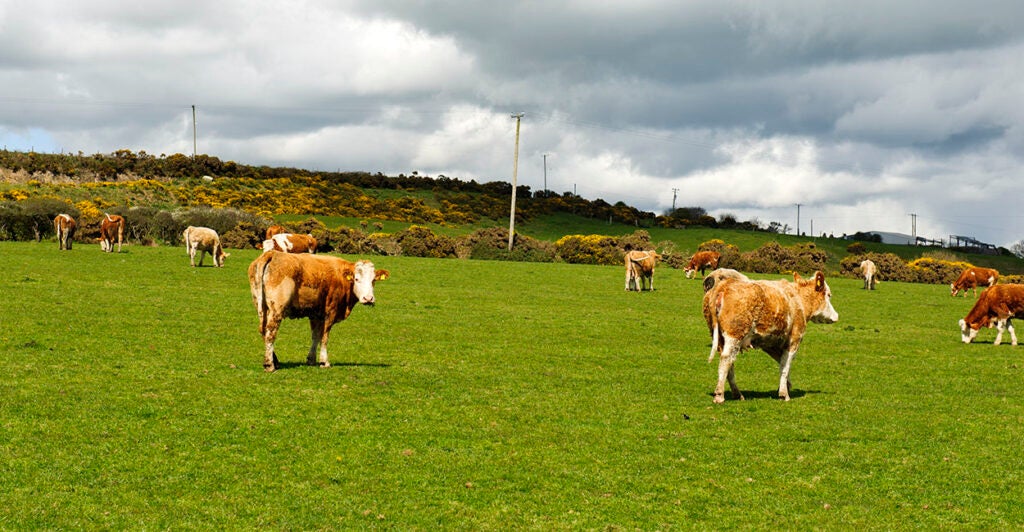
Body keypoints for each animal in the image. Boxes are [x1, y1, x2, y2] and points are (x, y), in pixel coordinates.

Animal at [247, 251, 387, 372]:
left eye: (373, 280)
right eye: (357, 279)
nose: (368, 298)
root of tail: (273, 253)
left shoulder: (315, 314)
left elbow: (315, 336)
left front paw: (311, 359)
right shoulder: (330, 312)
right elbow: (324, 337)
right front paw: (324, 362)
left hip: (261, 307)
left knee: (263, 331)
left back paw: (275, 361)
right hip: (276, 310)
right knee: (270, 332)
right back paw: (269, 364)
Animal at [704, 270, 839, 403]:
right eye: (829, 295)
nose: (836, 316)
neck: (798, 300)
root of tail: (724, 285)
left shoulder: (771, 343)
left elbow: (782, 362)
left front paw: (786, 386)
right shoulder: (794, 340)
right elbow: (785, 366)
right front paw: (784, 394)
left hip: (720, 338)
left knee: (729, 363)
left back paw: (737, 394)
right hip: (734, 335)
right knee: (726, 360)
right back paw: (720, 395)